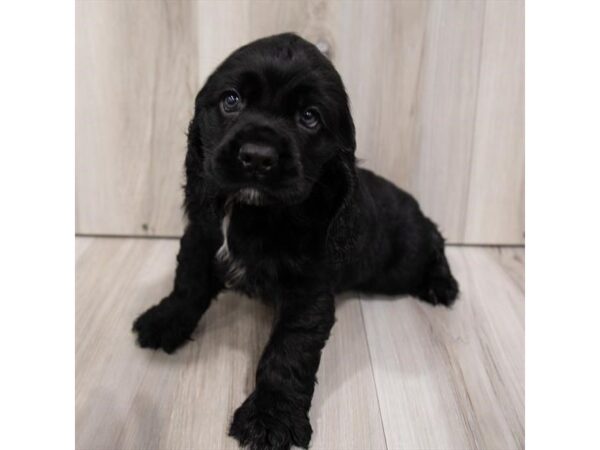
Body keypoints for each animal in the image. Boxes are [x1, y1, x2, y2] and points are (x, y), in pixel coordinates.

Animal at [132, 33, 460, 448]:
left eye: (309, 117)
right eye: (231, 100)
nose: (257, 157)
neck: (255, 213)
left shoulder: (308, 291)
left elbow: (288, 350)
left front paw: (270, 418)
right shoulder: (202, 236)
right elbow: (188, 283)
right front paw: (164, 321)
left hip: (402, 260)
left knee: (434, 236)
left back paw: (441, 283)